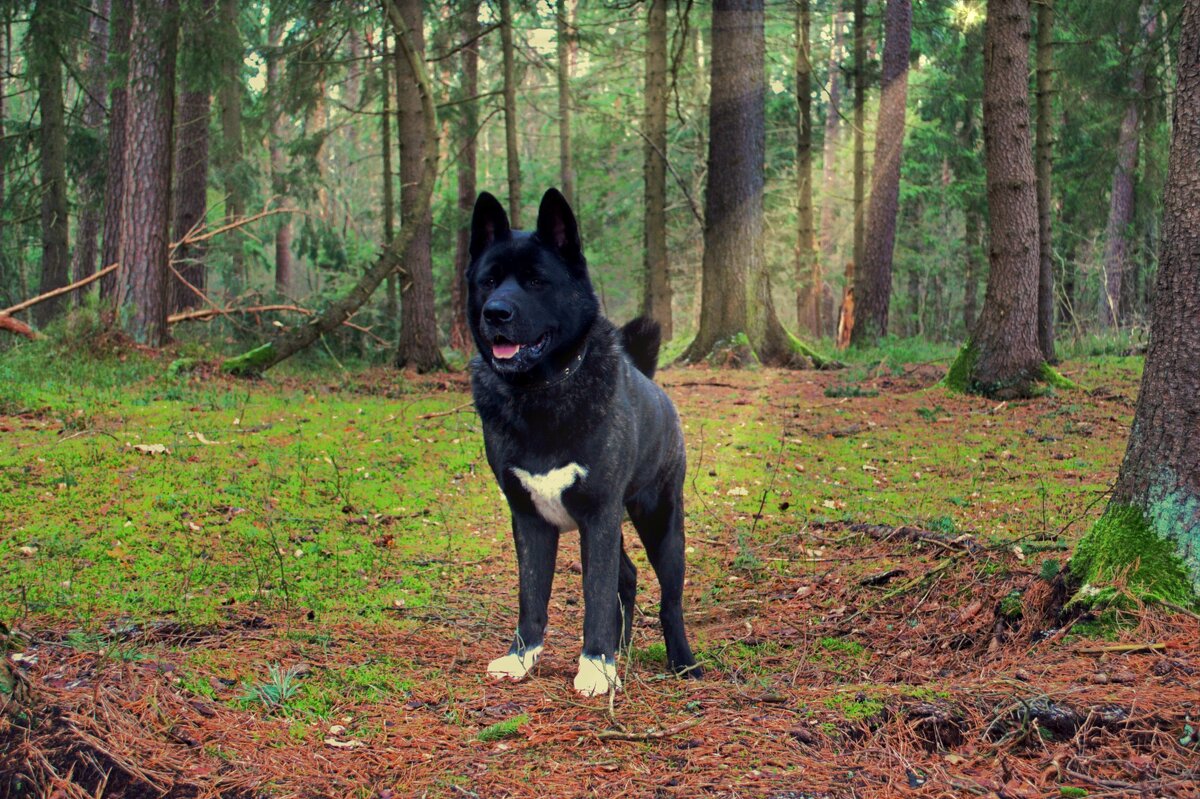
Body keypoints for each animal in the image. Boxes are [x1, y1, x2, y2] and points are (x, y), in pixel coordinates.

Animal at [463, 189, 700, 695]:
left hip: (660, 521)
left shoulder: (599, 515)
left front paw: (593, 666)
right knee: (627, 576)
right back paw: (622, 649)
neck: (541, 392)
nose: (496, 312)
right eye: (489, 281)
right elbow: (532, 594)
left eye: (536, 281)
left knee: (669, 600)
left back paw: (681, 661)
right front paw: (523, 657)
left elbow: (595, 595)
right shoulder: (530, 518)